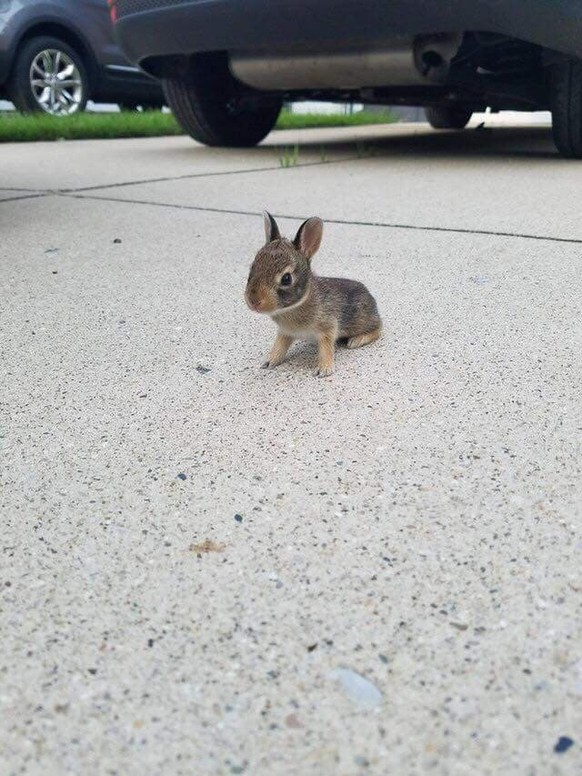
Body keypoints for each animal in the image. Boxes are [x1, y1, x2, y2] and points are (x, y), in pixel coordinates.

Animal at [246, 212, 384, 376]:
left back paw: (356, 340)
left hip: (362, 321)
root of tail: (370, 296)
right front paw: (269, 361)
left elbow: (326, 348)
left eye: (286, 278)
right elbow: (280, 346)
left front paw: (324, 370)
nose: (253, 301)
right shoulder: (285, 332)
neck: (293, 307)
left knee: (378, 328)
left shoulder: (328, 328)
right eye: (252, 268)